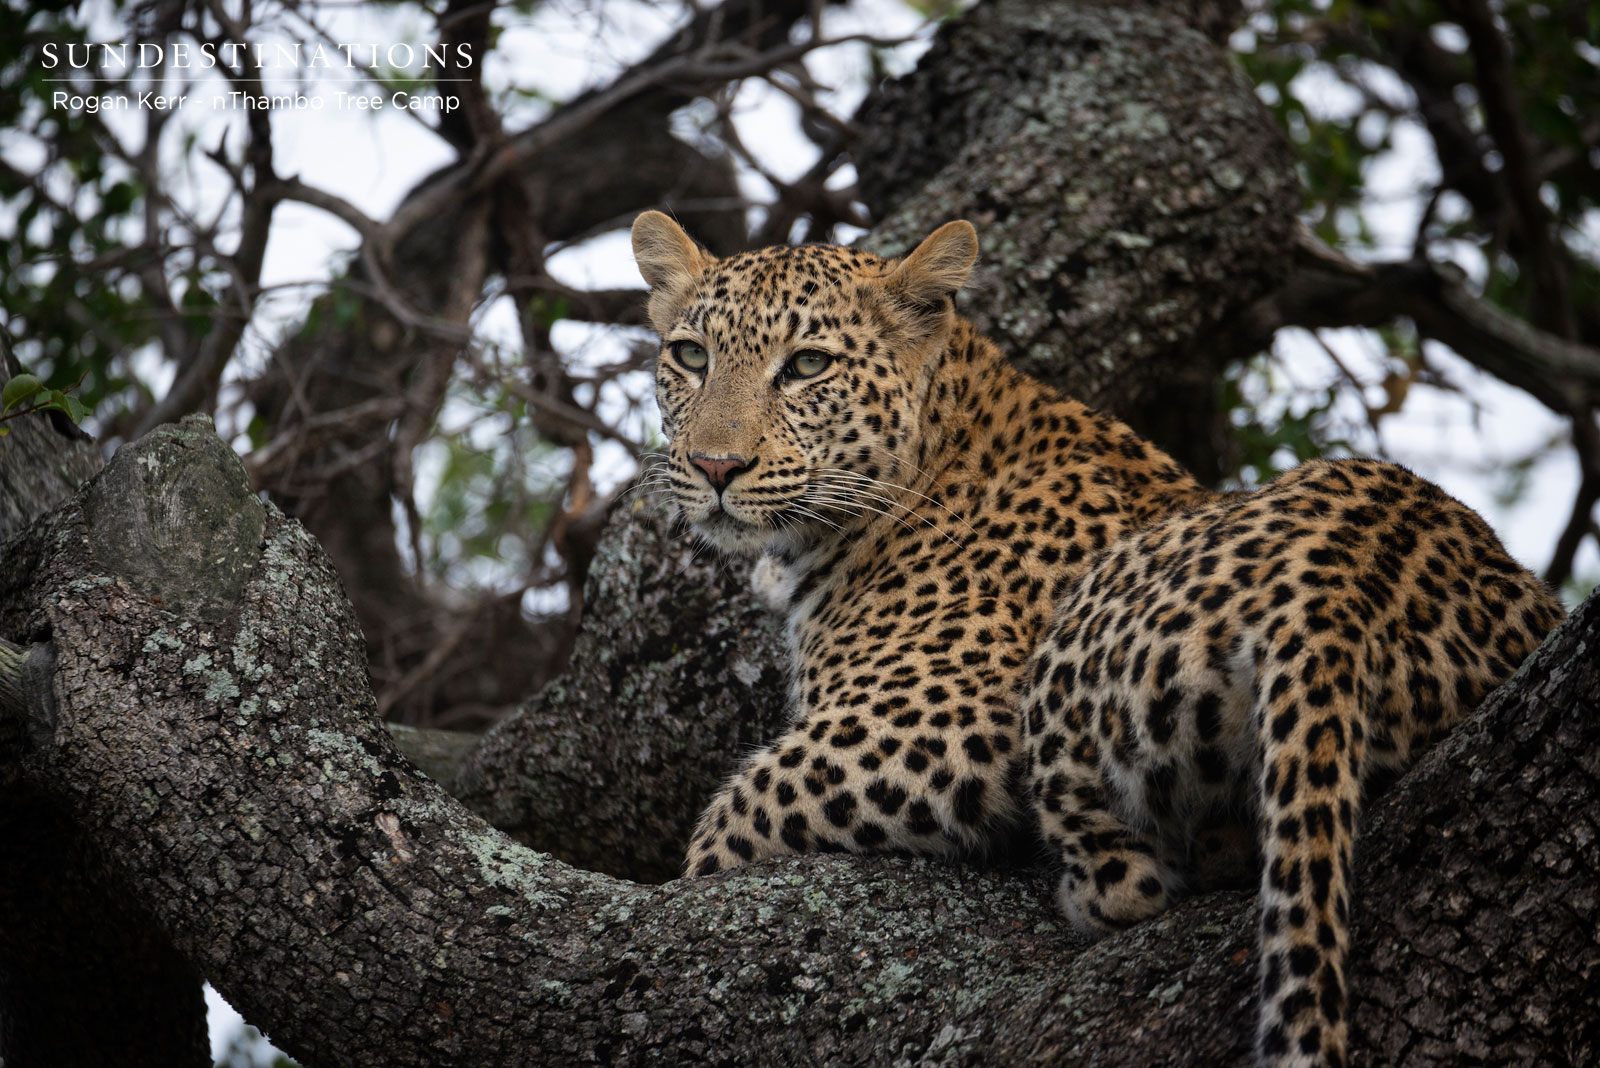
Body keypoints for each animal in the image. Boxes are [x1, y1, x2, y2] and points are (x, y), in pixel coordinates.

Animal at [630, 209, 1564, 1068]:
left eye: (808, 366)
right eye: (690, 357)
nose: (715, 468)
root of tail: (1343, 581)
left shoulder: (924, 730)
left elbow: (724, 832)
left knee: (1140, 873)